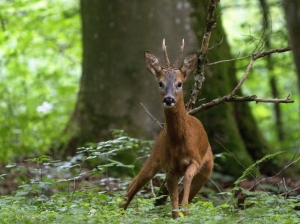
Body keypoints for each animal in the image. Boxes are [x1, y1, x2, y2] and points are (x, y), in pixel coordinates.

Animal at [120, 39, 213, 218]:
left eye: (180, 83)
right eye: (160, 83)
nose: (169, 99)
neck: (179, 141)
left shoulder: (195, 160)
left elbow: (183, 194)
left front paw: (185, 212)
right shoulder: (169, 168)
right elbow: (174, 208)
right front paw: (180, 214)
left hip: (207, 169)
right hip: (155, 155)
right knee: (133, 185)